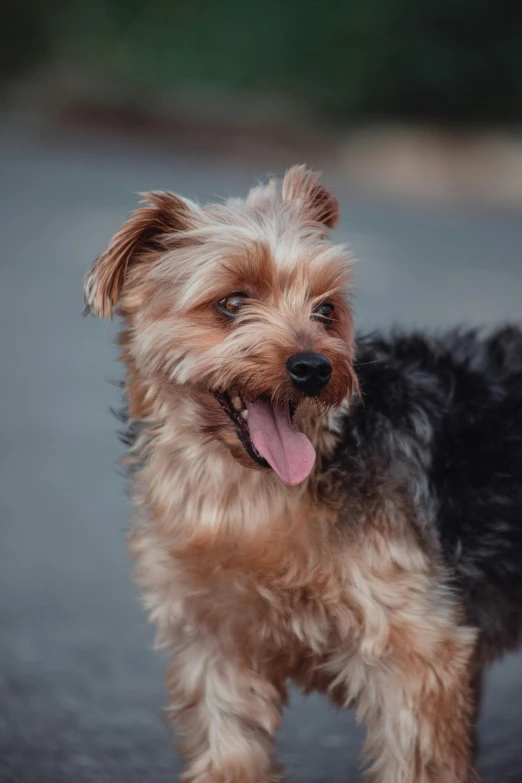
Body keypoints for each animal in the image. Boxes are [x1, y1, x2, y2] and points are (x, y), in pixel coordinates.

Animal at [83, 167, 516, 783]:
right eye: (232, 302)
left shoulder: (419, 654)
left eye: (326, 310)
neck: (249, 494)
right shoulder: (214, 645)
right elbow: (230, 752)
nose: (315, 367)